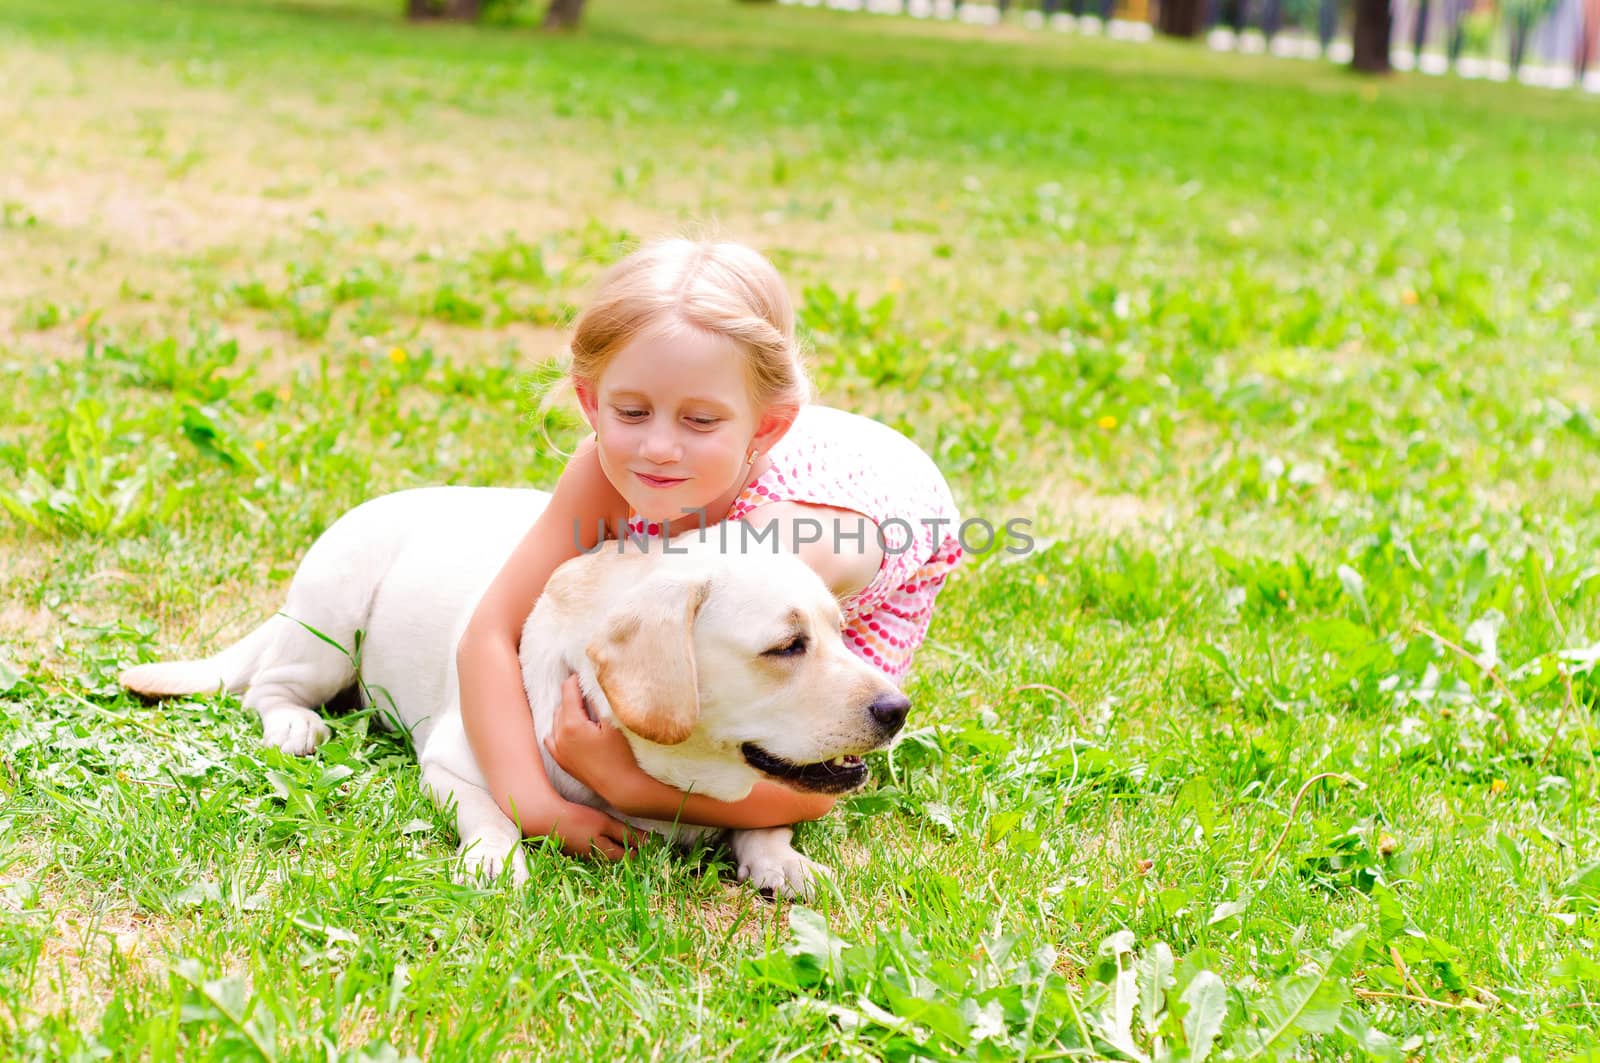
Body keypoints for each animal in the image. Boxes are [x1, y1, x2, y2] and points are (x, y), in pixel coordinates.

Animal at [121, 486, 915, 896]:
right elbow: (493, 811)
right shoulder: (451, 761)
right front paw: (498, 859)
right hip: (329, 622)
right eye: (785, 647)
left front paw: (779, 857)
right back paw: (294, 724)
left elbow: (769, 818)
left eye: (839, 631)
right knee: (268, 689)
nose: (897, 709)